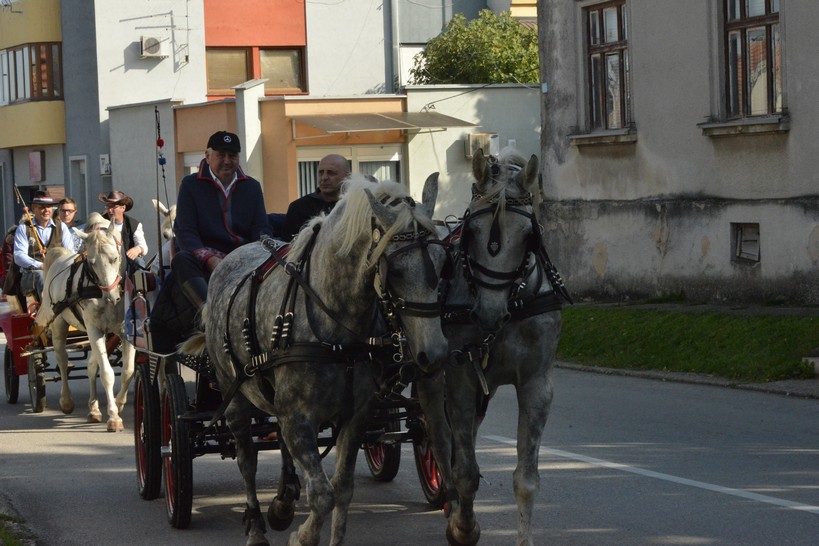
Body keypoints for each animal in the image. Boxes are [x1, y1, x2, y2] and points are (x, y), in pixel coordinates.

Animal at [34, 212, 137, 431]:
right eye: (91, 262)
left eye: (115, 258)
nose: (111, 297)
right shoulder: (94, 329)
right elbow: (106, 373)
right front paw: (113, 416)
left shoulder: (126, 331)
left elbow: (127, 371)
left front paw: (118, 403)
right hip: (58, 325)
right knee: (63, 360)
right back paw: (67, 401)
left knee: (91, 365)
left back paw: (94, 409)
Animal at [186, 174, 451, 546]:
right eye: (395, 269)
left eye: (442, 261)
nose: (435, 352)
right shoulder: (297, 418)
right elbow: (322, 494)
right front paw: (303, 535)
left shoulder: (354, 417)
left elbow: (342, 489)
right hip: (233, 394)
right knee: (246, 459)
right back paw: (256, 526)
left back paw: (283, 501)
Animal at [437, 148, 568, 546]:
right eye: (472, 232)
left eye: (529, 236)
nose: (488, 314)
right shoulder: (460, 381)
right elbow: (464, 470)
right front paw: (464, 527)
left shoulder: (537, 385)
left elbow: (526, 479)